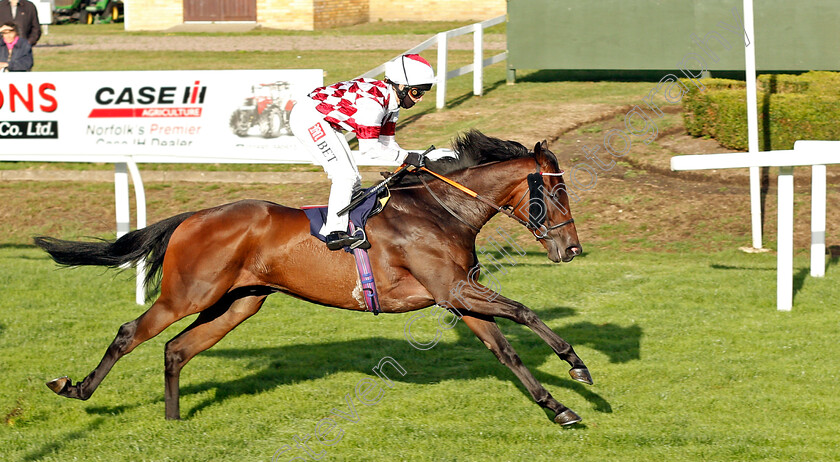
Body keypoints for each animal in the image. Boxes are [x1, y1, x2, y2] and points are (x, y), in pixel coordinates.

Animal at [36, 130, 592, 426]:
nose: (572, 249)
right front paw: (578, 367)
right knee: (131, 333)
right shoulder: (453, 288)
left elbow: (506, 350)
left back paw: (172, 424)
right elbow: (523, 311)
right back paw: (75, 388)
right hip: (188, 295)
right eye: (557, 193)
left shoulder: (455, 296)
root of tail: (194, 216)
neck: (440, 210)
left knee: (176, 349)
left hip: (239, 302)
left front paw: (559, 407)